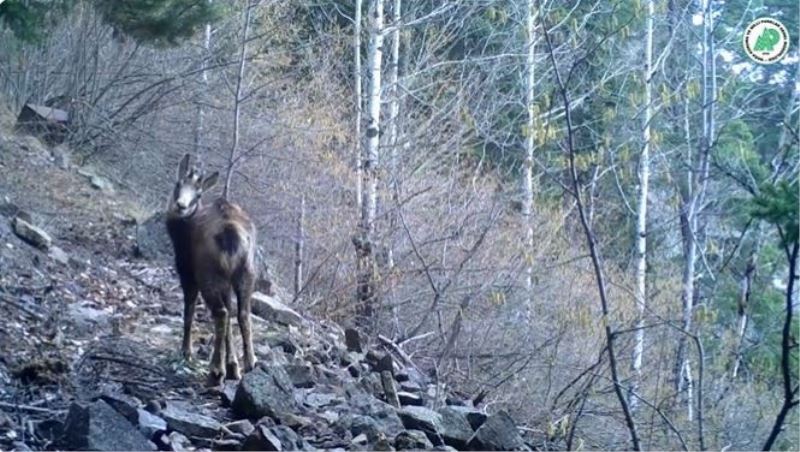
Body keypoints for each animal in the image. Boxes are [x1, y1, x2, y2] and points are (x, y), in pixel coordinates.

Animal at [166, 154, 256, 386]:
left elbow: (189, 310)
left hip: (208, 273)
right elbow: (232, 314)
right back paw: (250, 363)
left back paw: (216, 370)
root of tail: (231, 233)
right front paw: (233, 366)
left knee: (221, 312)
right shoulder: (227, 283)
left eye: (198, 194)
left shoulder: (186, 271)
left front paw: (186, 352)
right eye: (178, 184)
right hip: (246, 272)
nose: (181, 206)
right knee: (242, 312)